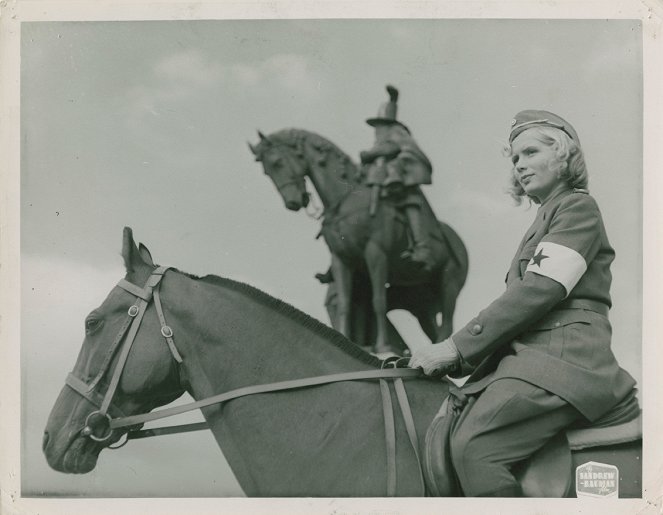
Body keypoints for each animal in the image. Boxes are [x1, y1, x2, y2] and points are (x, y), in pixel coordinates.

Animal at [249, 128, 472, 354]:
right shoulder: (341, 259)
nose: (293, 203)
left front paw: (382, 346)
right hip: (423, 306)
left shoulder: (375, 253)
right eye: (266, 171)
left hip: (449, 285)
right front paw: (345, 338)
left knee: (447, 326)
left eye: (277, 162)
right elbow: (345, 302)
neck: (347, 200)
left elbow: (378, 301)